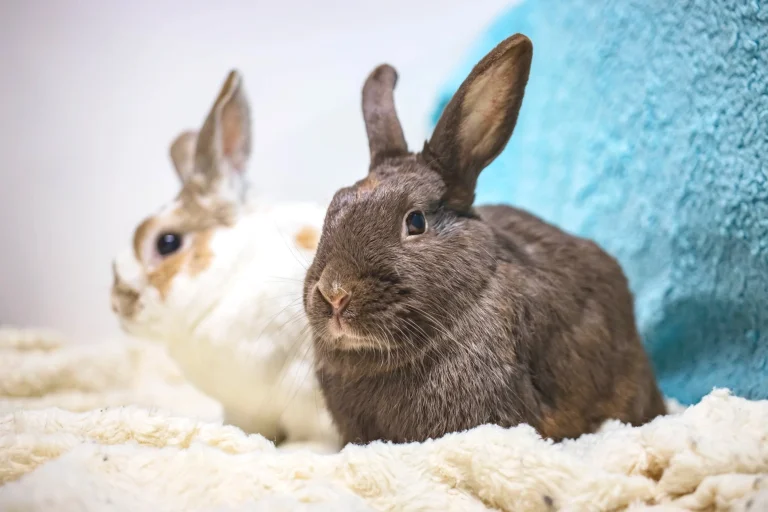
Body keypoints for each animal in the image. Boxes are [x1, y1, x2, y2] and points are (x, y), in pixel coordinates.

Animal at [111, 69, 340, 449]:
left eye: (167, 242)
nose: (118, 304)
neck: (232, 274)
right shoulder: (244, 407)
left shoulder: (310, 394)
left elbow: (316, 436)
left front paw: (300, 450)